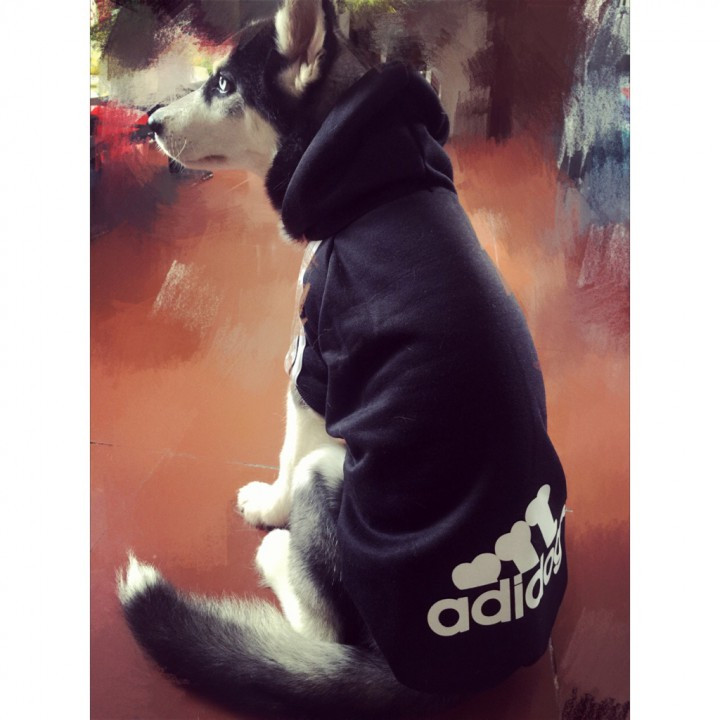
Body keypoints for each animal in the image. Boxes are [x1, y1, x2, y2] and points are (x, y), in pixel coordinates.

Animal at [116, 2, 568, 718]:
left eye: (224, 85)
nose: (149, 122)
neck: (374, 177)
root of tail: (420, 680)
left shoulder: (312, 368)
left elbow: (284, 454)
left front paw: (267, 508)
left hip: (329, 474)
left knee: (323, 630)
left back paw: (277, 553)